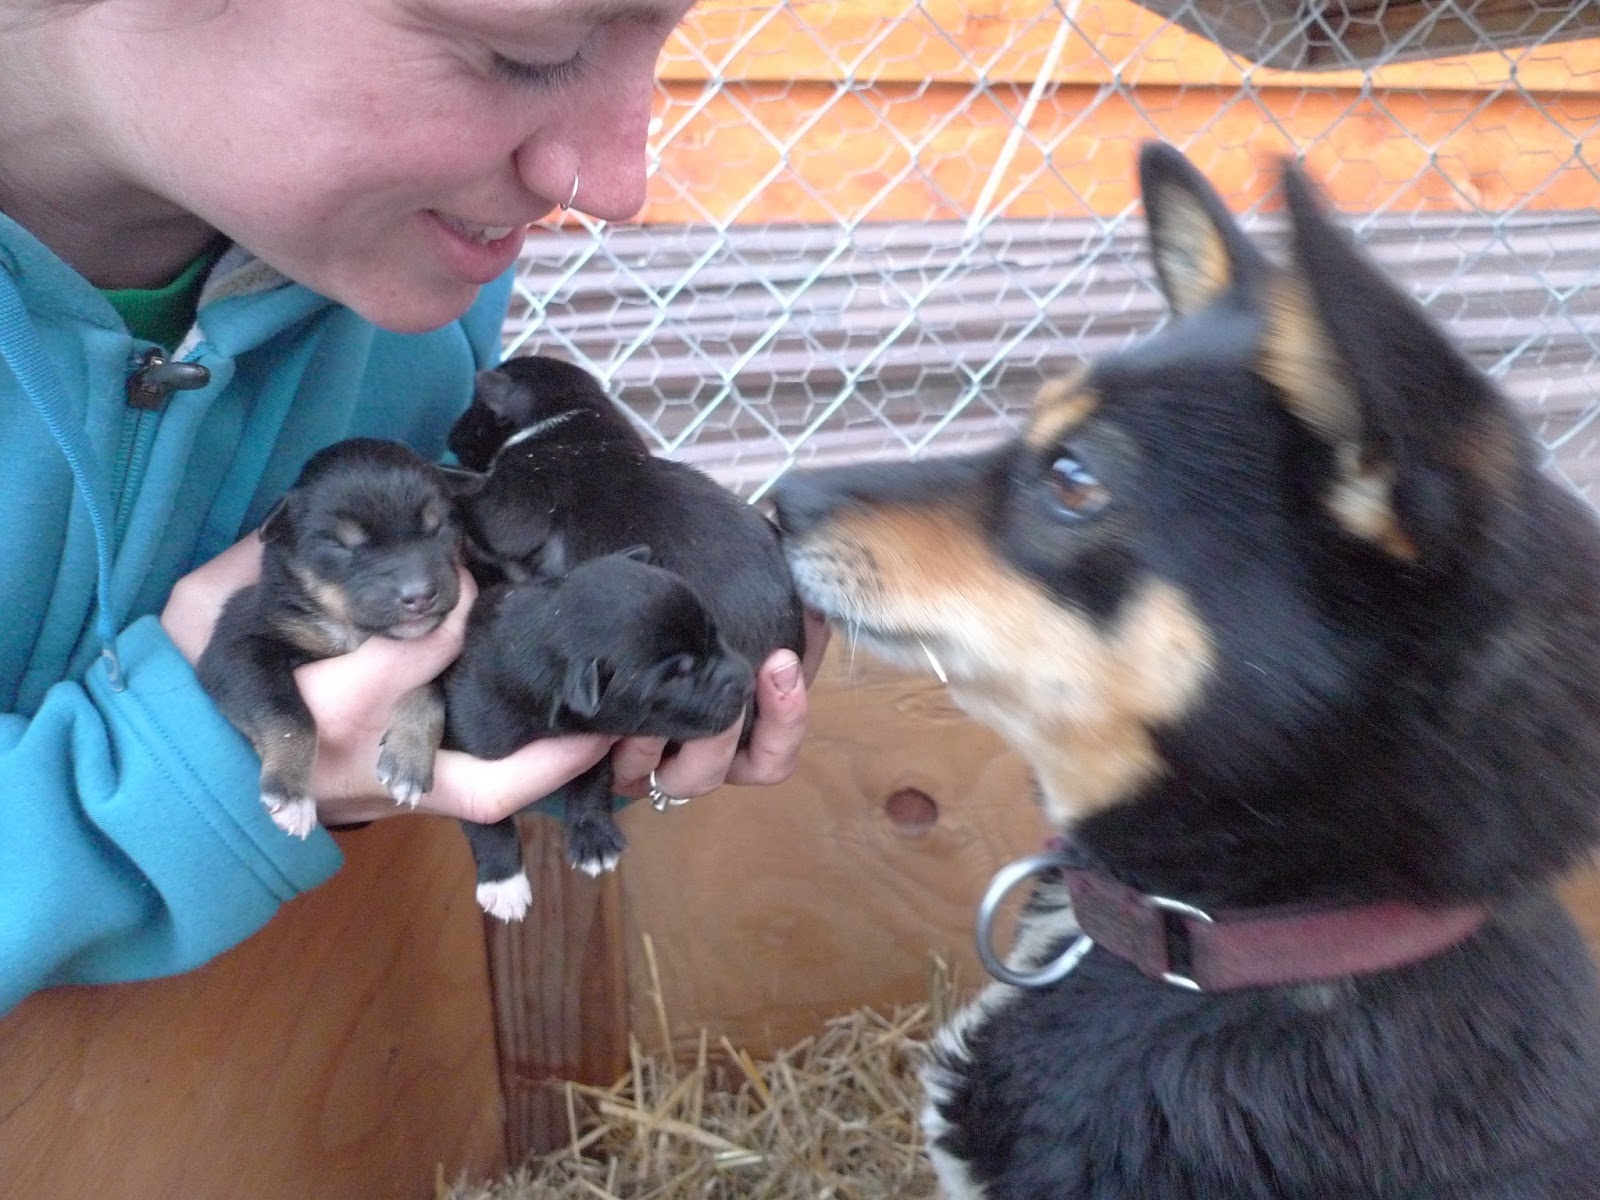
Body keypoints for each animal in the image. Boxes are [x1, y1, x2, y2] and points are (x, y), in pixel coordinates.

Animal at [198, 438, 464, 838]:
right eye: (340, 545)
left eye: (439, 526)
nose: (419, 595)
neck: (354, 631)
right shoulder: (237, 644)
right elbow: (286, 712)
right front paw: (291, 793)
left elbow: (428, 690)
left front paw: (409, 758)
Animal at [444, 553, 755, 921]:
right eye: (677, 676)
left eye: (714, 632)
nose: (748, 680)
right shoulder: (469, 746)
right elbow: (485, 824)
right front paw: (503, 882)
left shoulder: (594, 739)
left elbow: (591, 783)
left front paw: (593, 836)